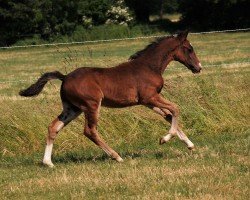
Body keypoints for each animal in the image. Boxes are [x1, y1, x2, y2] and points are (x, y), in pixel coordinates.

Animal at [20, 30, 202, 167]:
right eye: (189, 49)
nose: (198, 67)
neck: (149, 66)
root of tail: (64, 78)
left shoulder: (148, 101)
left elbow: (168, 115)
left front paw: (190, 145)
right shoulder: (150, 97)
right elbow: (175, 108)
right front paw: (165, 139)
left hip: (72, 108)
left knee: (53, 127)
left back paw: (48, 162)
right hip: (91, 105)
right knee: (90, 131)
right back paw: (117, 156)